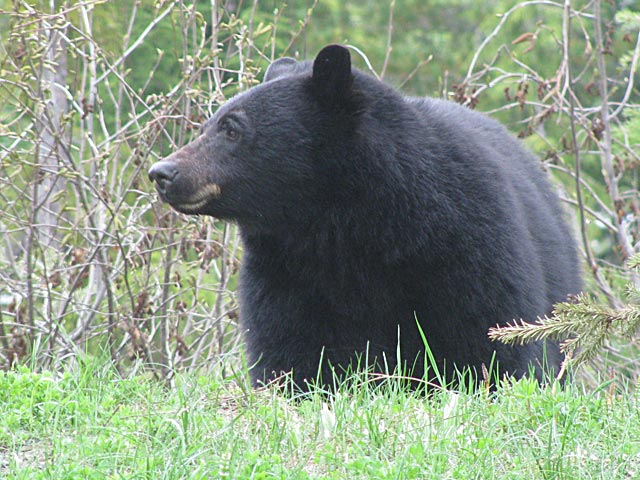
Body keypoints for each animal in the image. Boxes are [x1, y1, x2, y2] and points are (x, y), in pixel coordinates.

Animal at [151, 45, 584, 390]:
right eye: (208, 124)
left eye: (232, 129)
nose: (163, 173)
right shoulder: (284, 270)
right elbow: (289, 346)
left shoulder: (467, 241)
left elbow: (491, 335)